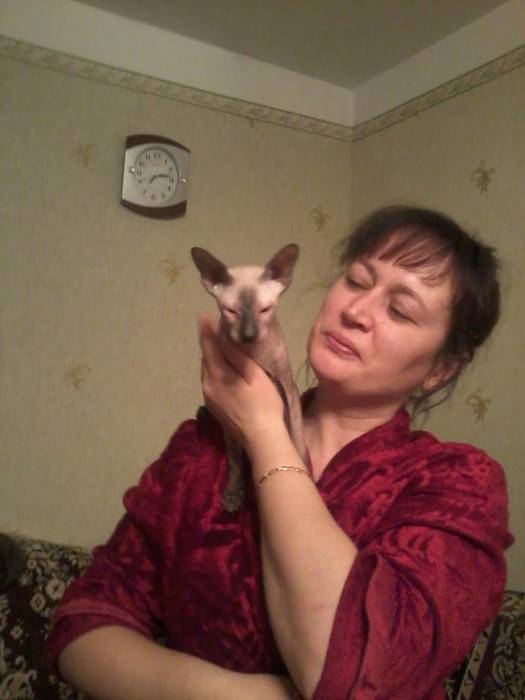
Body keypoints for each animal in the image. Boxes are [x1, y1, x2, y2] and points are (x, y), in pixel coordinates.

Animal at [191, 244, 305, 512]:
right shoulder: (228, 422)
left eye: (265, 310)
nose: (249, 335)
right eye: (230, 311)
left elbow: (295, 437)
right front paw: (233, 493)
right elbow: (234, 461)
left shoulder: (288, 390)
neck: (254, 356)